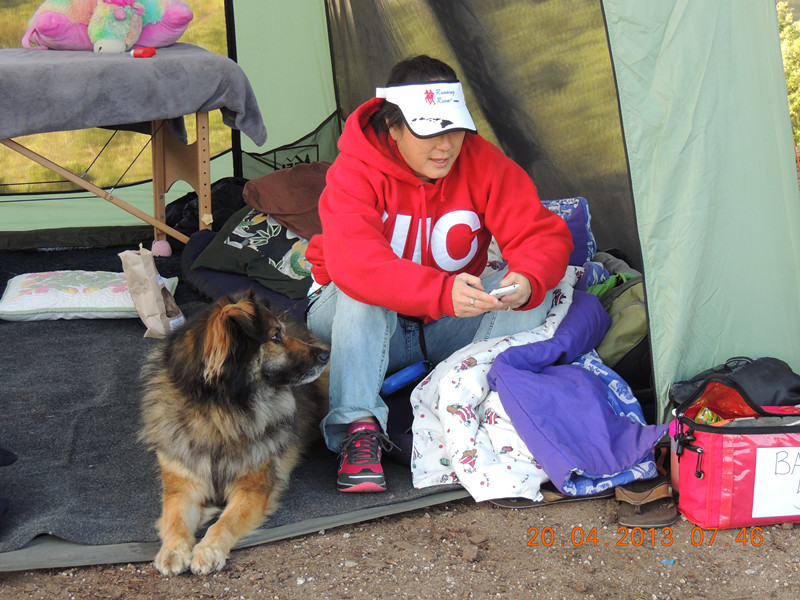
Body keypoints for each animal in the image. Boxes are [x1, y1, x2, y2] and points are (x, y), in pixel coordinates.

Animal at [139, 291, 329, 576]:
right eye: (275, 337)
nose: (326, 354)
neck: (219, 413)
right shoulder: (181, 486)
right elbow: (175, 519)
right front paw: (172, 551)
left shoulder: (251, 489)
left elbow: (224, 523)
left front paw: (207, 550)